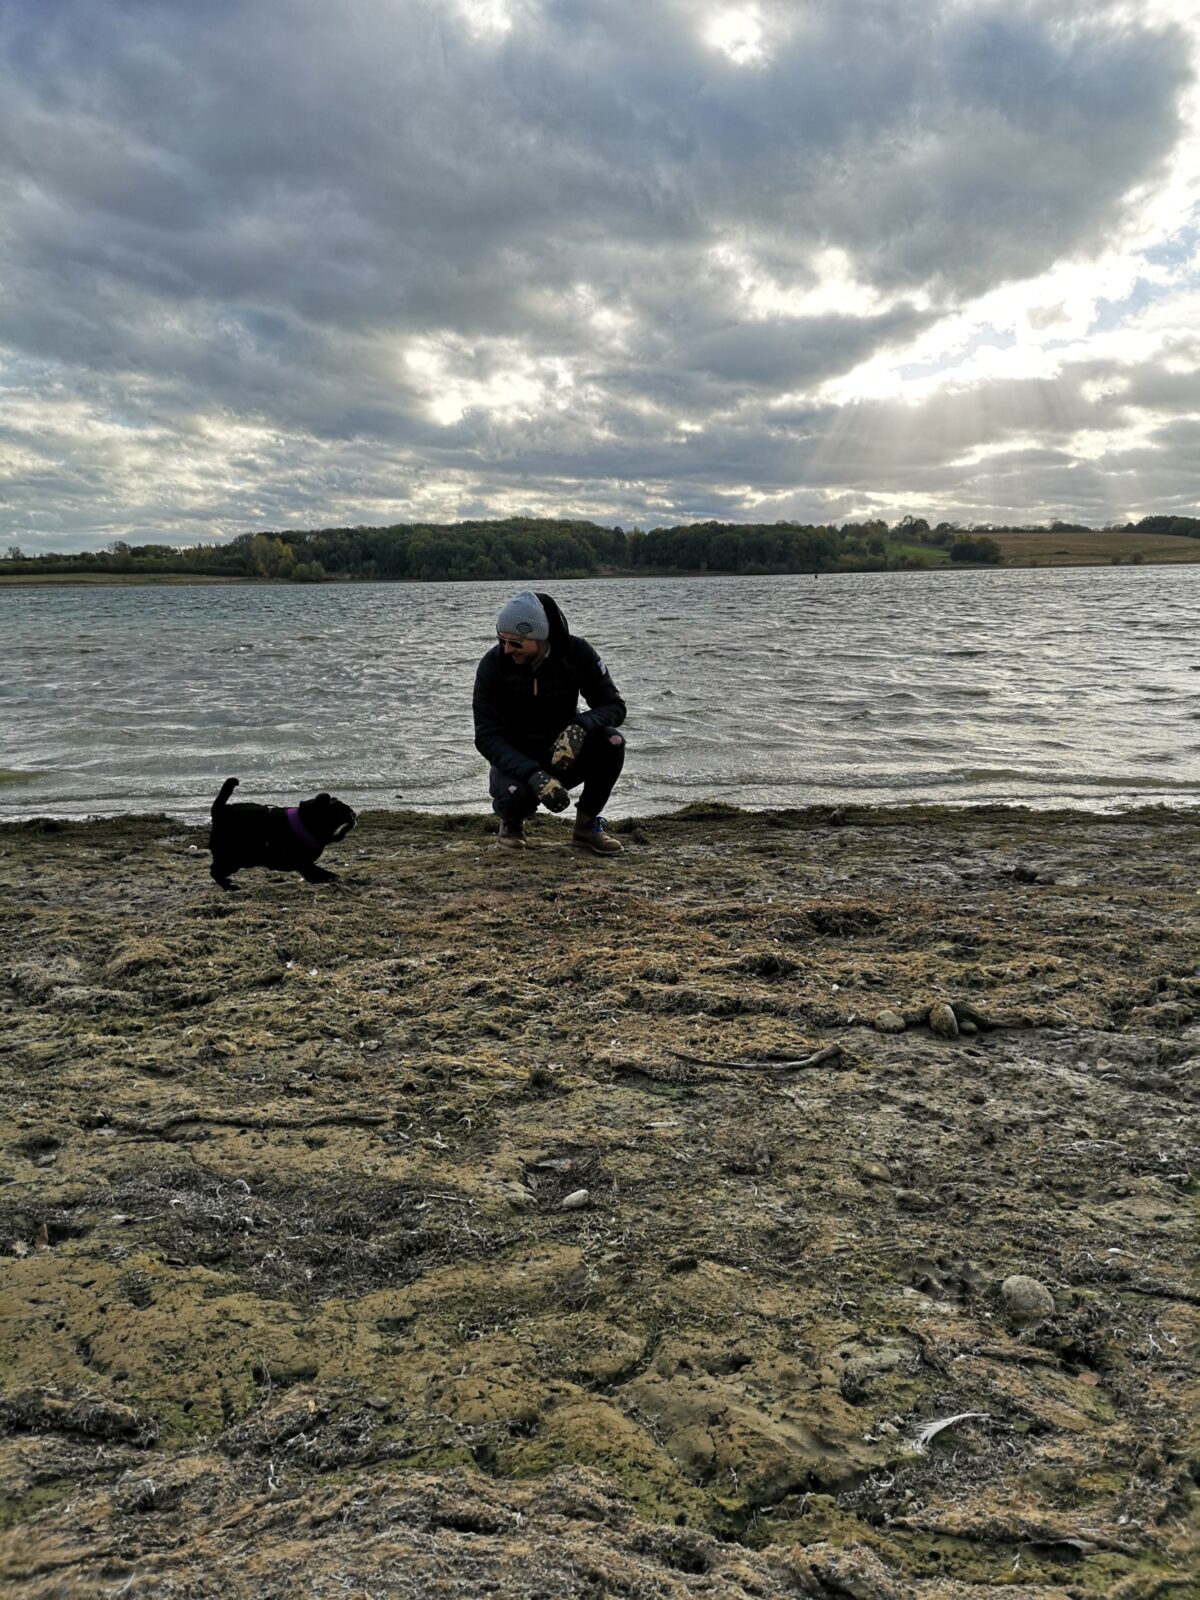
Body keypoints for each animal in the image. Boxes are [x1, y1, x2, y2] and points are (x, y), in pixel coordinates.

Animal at [209, 774, 356, 889]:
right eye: (343, 810)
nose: (353, 813)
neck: (307, 820)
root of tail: (220, 811)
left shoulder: (306, 865)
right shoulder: (305, 864)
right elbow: (322, 874)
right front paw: (336, 878)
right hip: (233, 859)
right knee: (214, 871)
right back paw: (230, 886)